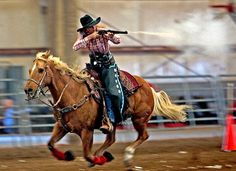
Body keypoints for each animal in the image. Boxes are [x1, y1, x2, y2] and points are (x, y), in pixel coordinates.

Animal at [24, 50, 190, 170]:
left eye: (40, 70)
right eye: (30, 70)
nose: (28, 90)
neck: (73, 94)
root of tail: (148, 86)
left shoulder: (87, 130)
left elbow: (87, 154)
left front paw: (101, 159)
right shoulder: (61, 126)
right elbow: (50, 144)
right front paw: (69, 155)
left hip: (139, 119)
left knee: (143, 136)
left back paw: (126, 157)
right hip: (113, 123)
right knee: (112, 138)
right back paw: (104, 155)